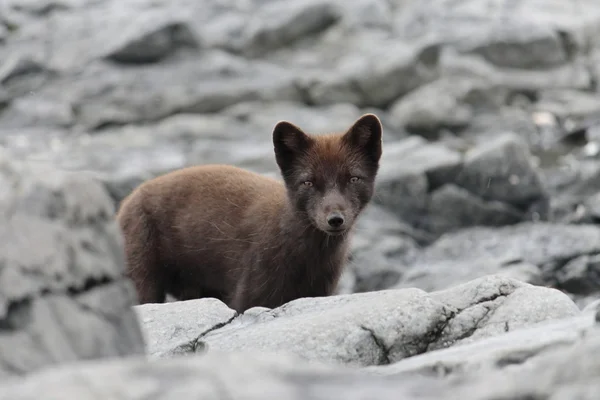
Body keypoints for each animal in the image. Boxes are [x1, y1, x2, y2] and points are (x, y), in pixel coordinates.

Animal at [115, 112, 382, 312]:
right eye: (308, 182)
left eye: (353, 178)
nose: (335, 219)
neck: (308, 262)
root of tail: (126, 202)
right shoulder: (251, 291)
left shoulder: (321, 291)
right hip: (141, 271)